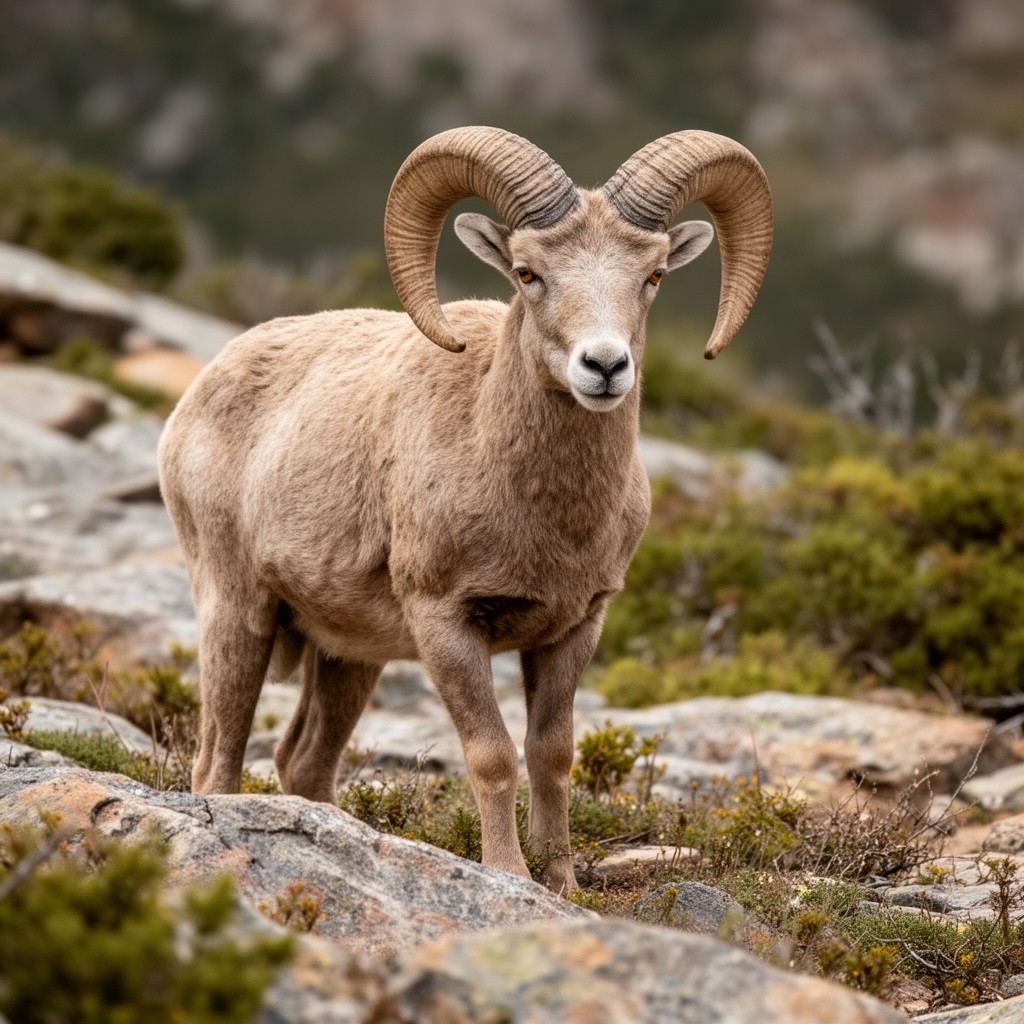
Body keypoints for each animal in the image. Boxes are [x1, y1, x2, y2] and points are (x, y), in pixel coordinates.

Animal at [158, 126, 772, 892]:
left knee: (305, 762)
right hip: (237, 611)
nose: (604, 367)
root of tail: (201, 391)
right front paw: (508, 874)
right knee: (217, 763)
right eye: (528, 273)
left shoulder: (575, 629)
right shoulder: (446, 623)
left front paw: (563, 885)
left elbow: (550, 754)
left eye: (653, 275)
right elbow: (492, 754)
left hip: (348, 656)